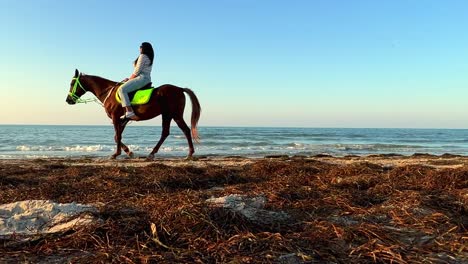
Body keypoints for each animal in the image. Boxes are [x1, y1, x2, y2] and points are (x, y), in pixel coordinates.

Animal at [65, 69, 200, 159]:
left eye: (72, 84)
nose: (68, 100)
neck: (108, 92)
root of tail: (179, 89)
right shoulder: (123, 119)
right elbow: (117, 136)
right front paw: (128, 152)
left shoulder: (115, 117)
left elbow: (118, 136)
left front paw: (116, 154)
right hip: (167, 115)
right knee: (167, 132)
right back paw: (153, 153)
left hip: (175, 115)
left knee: (184, 130)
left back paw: (188, 154)